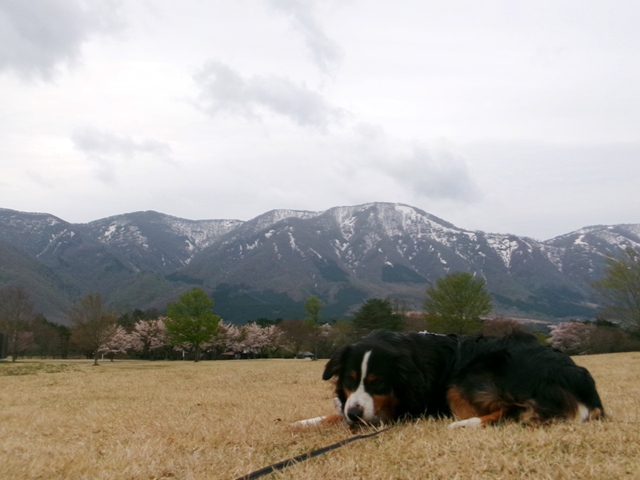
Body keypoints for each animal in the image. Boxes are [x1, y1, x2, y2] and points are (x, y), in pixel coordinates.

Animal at [308, 330, 604, 428]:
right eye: (350, 380)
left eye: (378, 382)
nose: (355, 415)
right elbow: (330, 415)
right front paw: (305, 422)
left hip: (463, 381)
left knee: (511, 410)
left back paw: (464, 424)